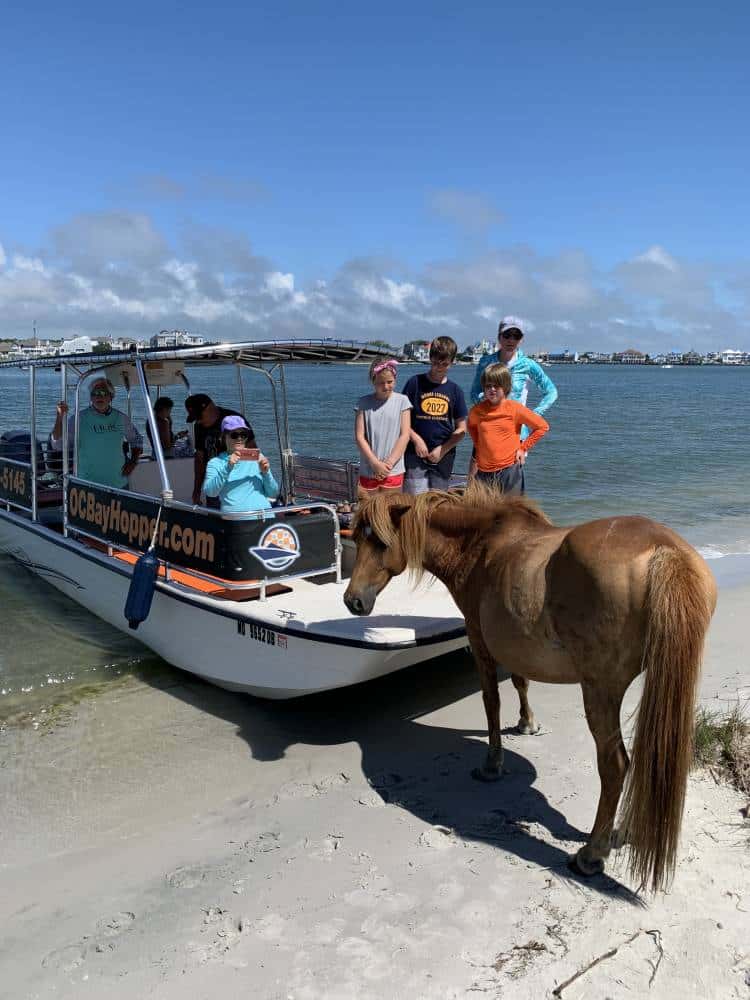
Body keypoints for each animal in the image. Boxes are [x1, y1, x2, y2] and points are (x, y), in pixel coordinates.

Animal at [344, 484, 720, 892]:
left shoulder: (479, 642)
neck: (480, 544)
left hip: (600, 690)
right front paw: (527, 723)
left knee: (615, 765)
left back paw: (591, 854)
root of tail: (664, 551)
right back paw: (621, 833)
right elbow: (521, 681)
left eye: (380, 542)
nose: (353, 600)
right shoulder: (512, 644)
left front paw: (492, 764)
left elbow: (491, 702)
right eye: (356, 538)